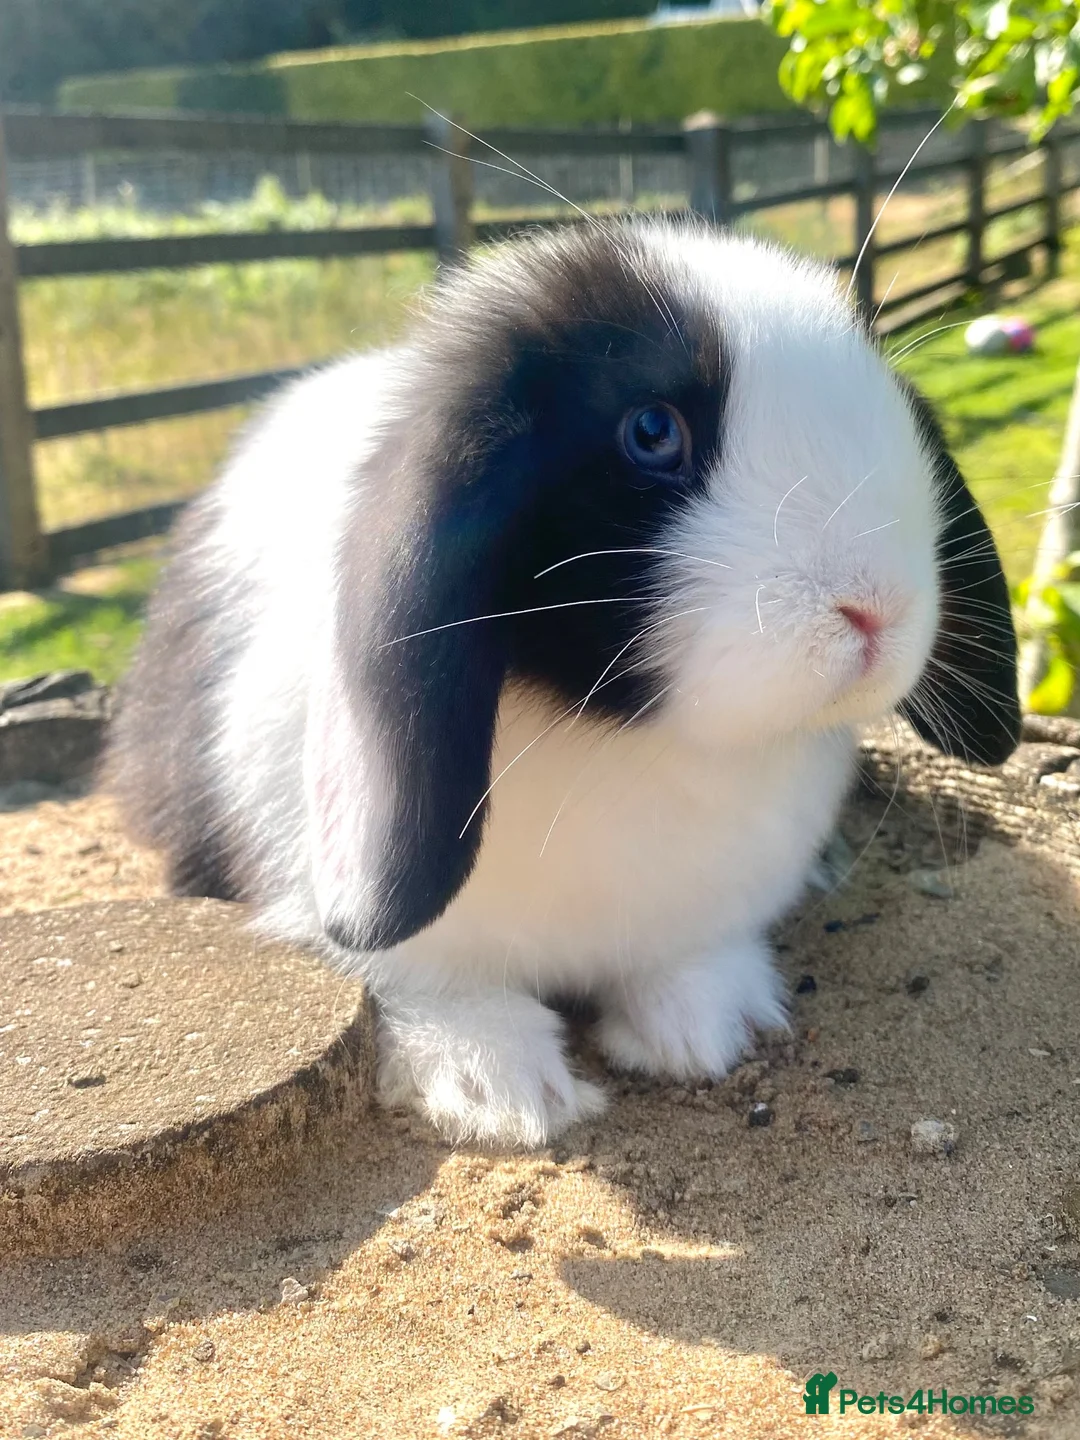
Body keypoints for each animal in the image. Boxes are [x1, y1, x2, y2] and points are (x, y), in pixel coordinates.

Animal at [108, 218, 1020, 1148]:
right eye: (651, 432)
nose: (877, 608)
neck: (622, 740)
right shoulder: (397, 938)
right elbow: (436, 988)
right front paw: (501, 1088)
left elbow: (687, 960)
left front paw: (701, 1031)